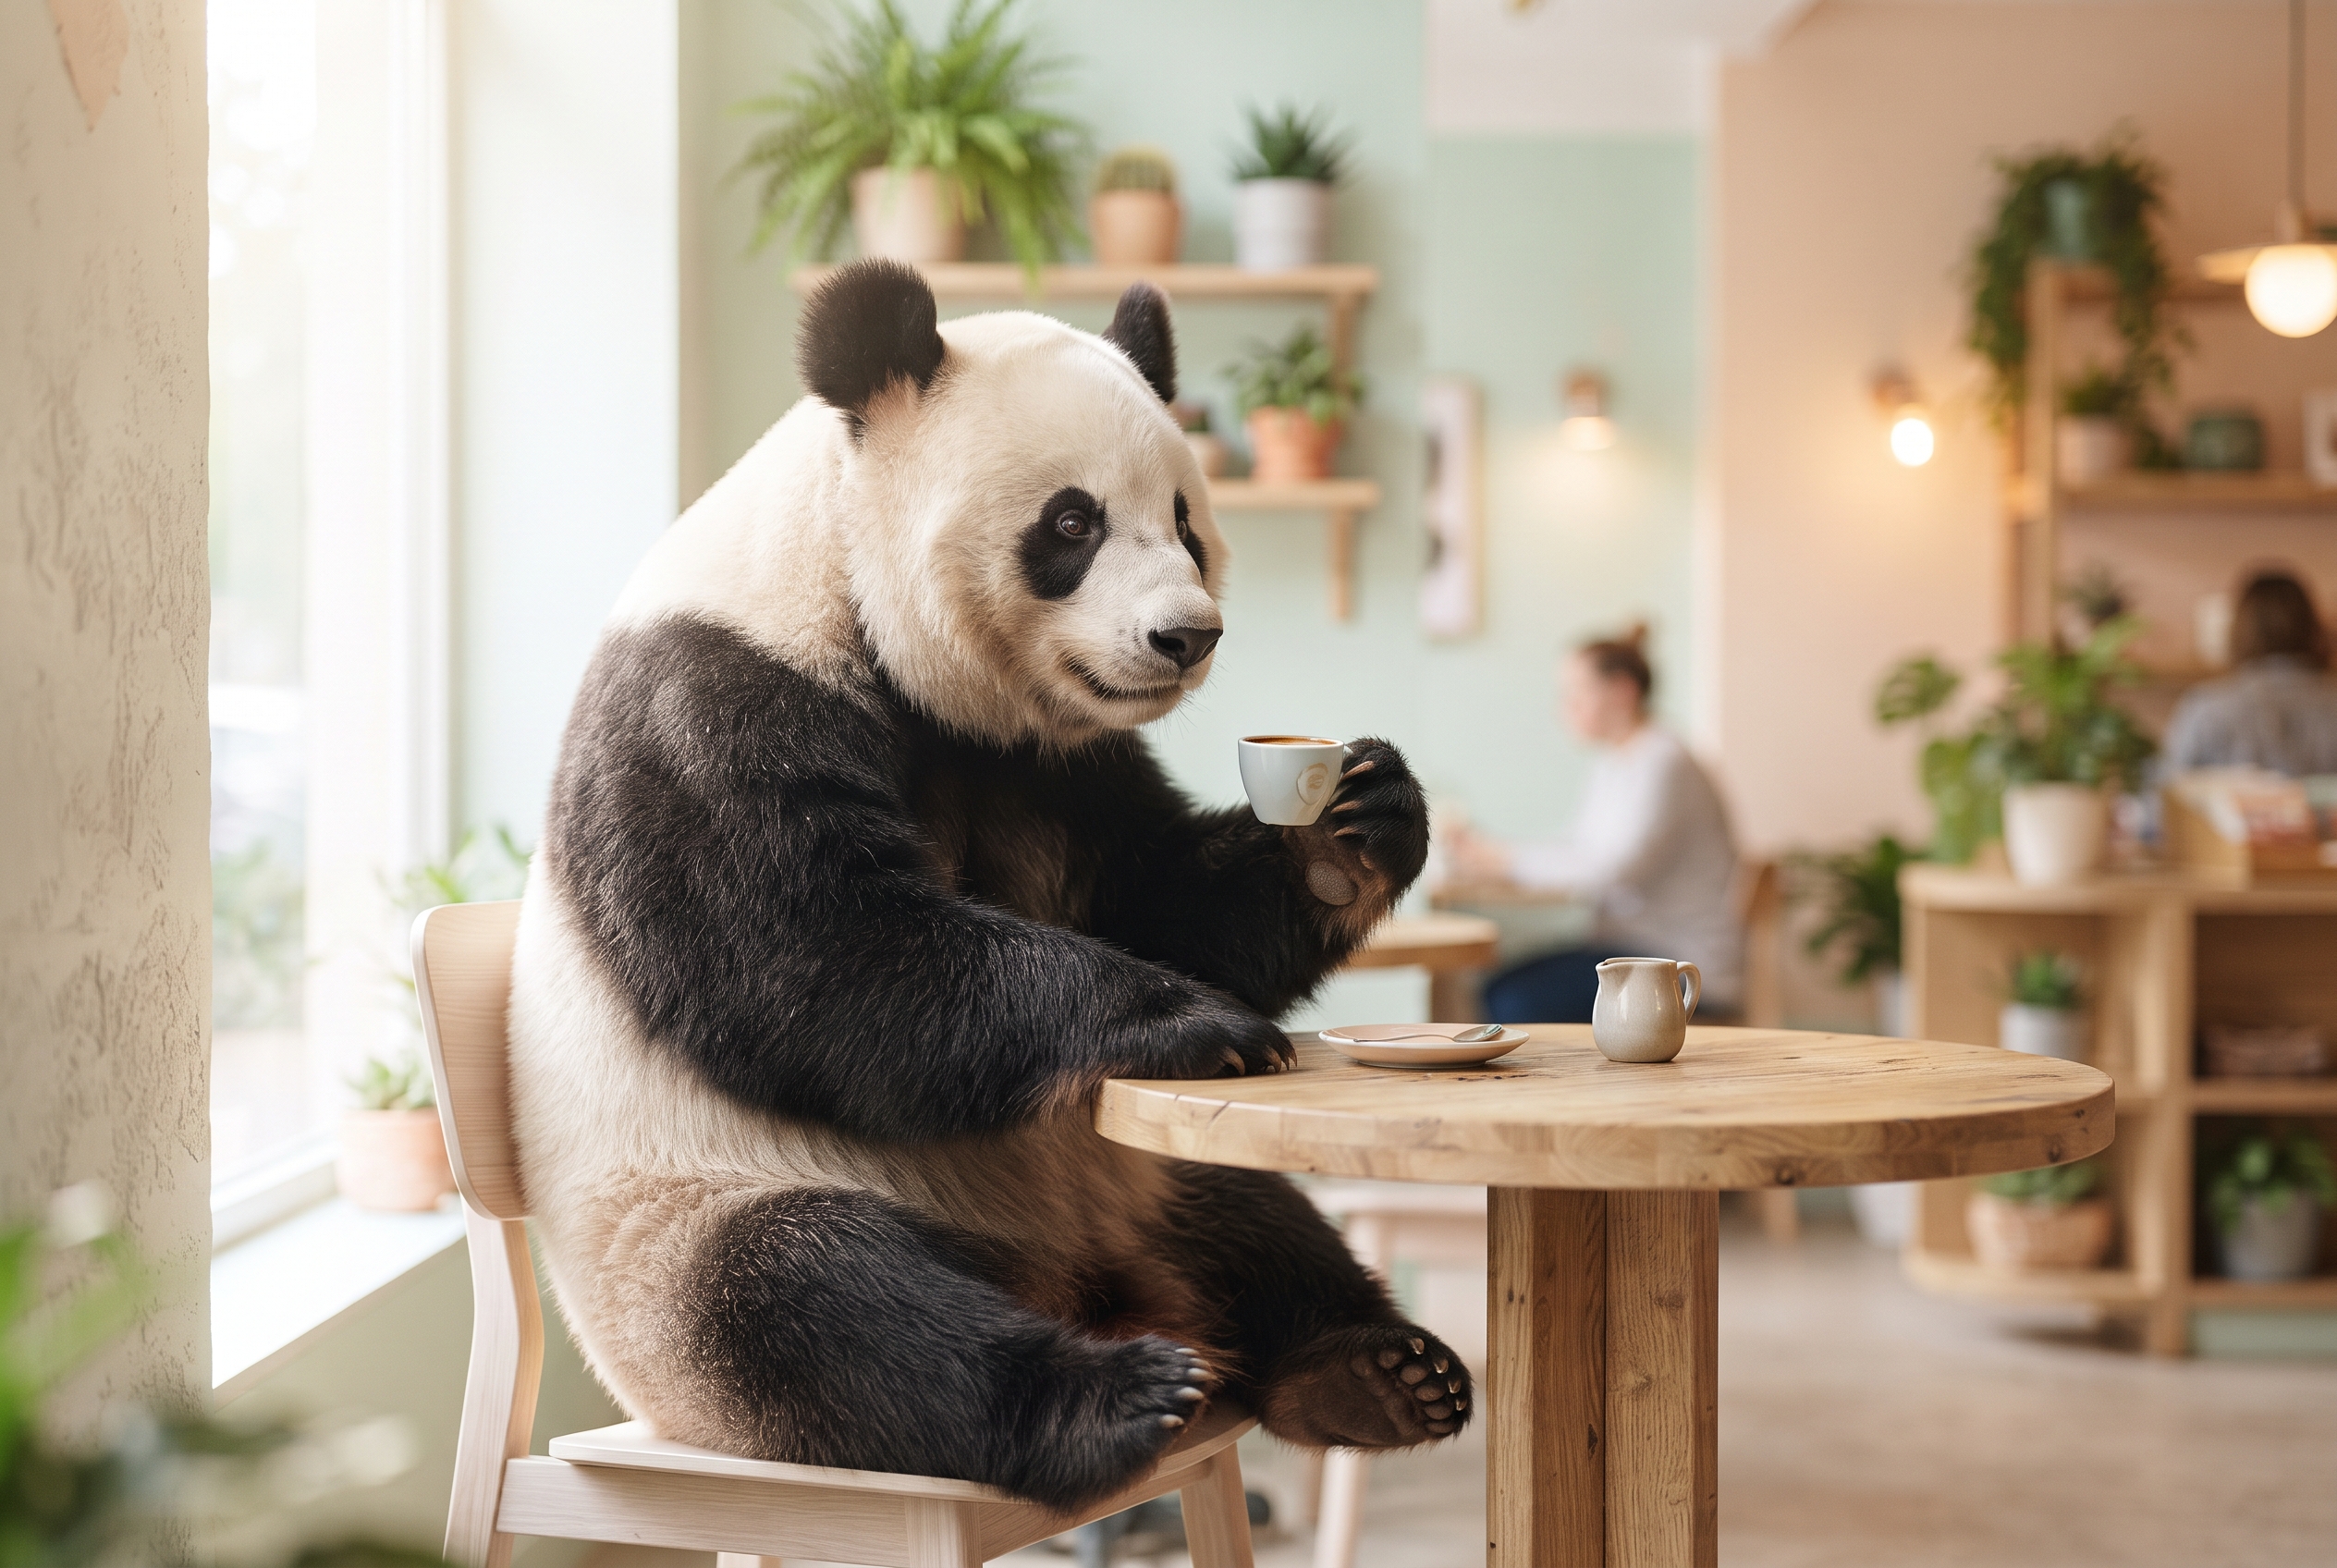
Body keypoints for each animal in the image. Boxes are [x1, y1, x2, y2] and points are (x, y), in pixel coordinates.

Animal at [506, 259, 1471, 1513]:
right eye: (1070, 523)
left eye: (1183, 521)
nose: (1185, 637)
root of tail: (1081, 1283)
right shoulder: (708, 701)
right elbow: (818, 956)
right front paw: (1190, 1022)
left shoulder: (1051, 765)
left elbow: (1156, 900)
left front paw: (1356, 826)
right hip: (680, 1230)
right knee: (816, 1308)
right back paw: (1108, 1399)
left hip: (1137, 1169)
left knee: (1248, 1213)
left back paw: (1371, 1371)